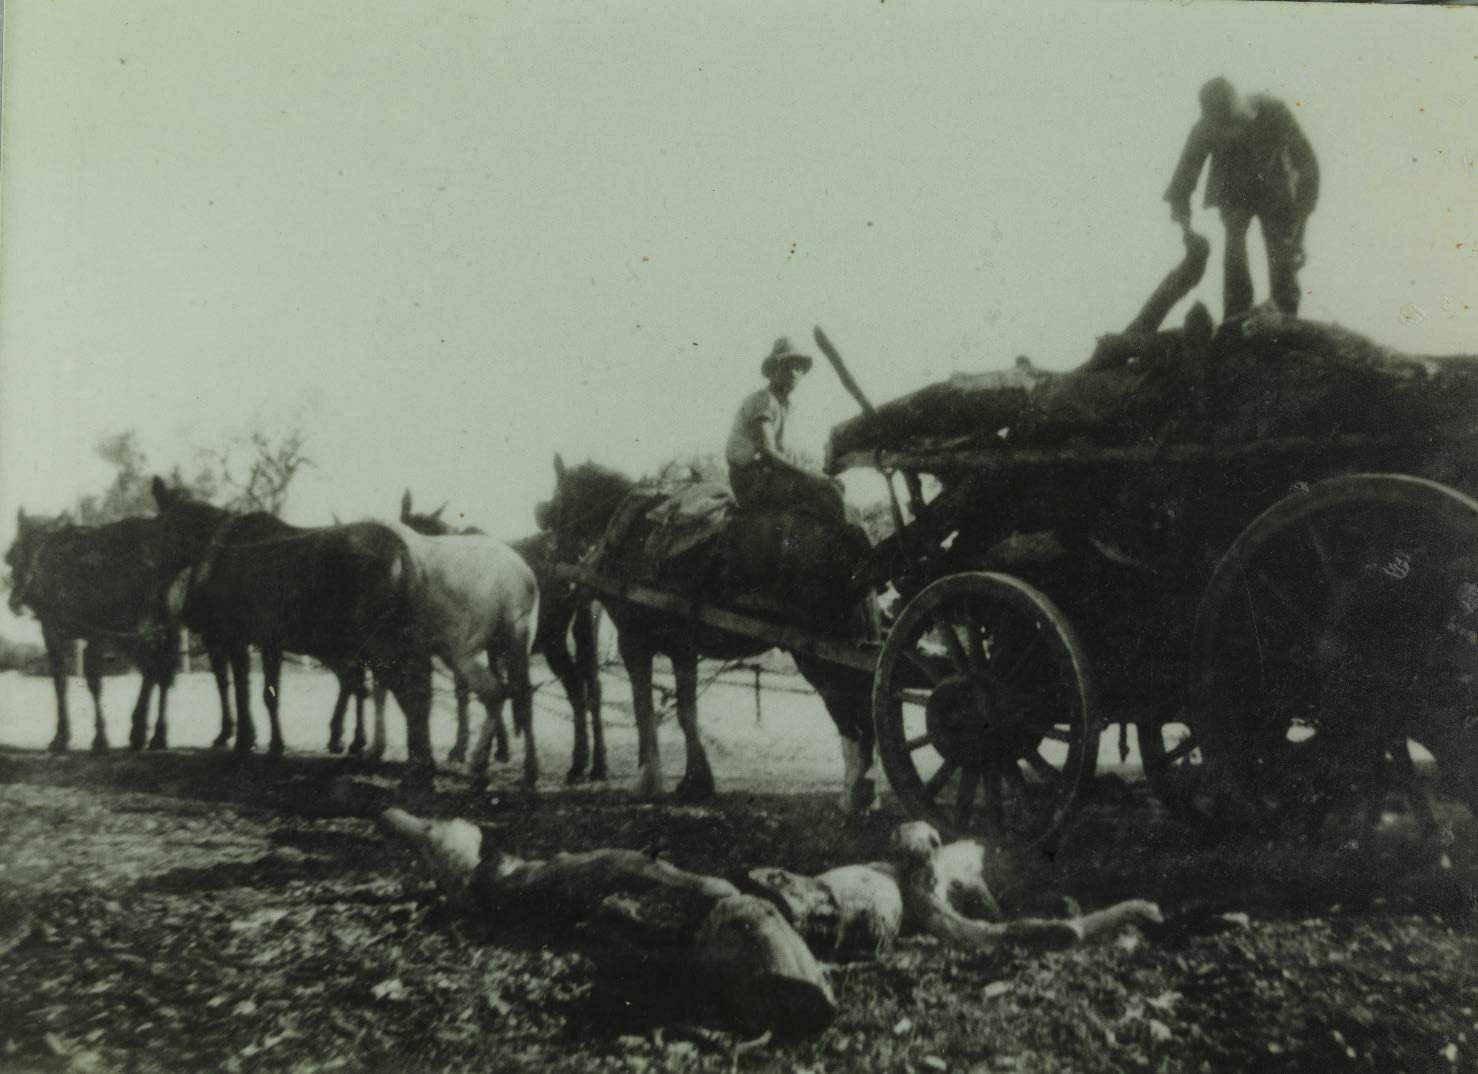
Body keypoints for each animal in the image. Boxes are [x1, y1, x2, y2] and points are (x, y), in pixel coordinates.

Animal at [5, 508, 190, 753]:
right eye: (12, 557)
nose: (16, 601)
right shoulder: (91, 634)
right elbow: (81, 681)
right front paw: (92, 736)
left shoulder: (61, 632)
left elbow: (69, 681)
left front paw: (70, 737)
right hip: (163, 625)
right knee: (162, 671)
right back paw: (157, 735)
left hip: (136, 626)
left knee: (153, 668)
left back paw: (140, 731)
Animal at [399, 490, 605, 785]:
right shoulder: (485, 647)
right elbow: (489, 688)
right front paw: (494, 749)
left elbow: (478, 689)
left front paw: (471, 750)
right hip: (570, 638)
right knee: (584, 690)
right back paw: (587, 765)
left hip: (568, 637)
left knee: (585, 689)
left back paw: (589, 764)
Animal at [537, 455, 874, 815]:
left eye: (558, 501)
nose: (552, 560)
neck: (633, 534)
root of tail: (847, 533)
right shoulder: (682, 647)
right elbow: (687, 712)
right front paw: (695, 782)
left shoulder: (634, 642)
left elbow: (645, 709)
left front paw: (649, 782)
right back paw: (861, 789)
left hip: (817, 652)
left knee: (849, 710)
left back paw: (854, 794)